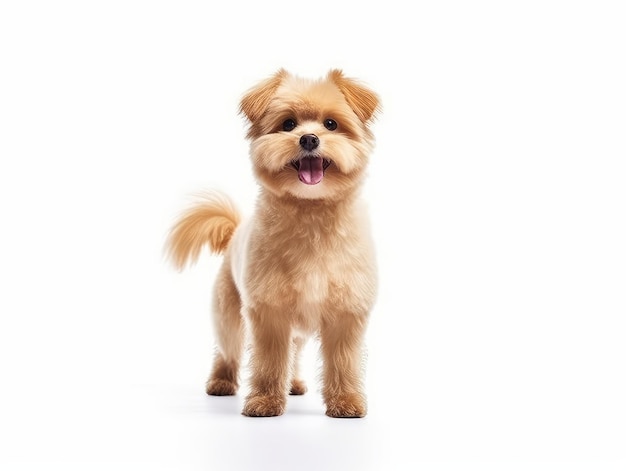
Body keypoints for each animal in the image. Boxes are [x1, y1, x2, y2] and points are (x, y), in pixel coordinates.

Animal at [167, 69, 380, 416]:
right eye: (288, 124)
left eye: (331, 124)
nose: (309, 139)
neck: (310, 211)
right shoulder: (270, 312)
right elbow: (269, 362)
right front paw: (265, 401)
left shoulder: (346, 314)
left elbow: (343, 363)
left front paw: (346, 401)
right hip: (229, 315)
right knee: (227, 350)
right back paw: (221, 381)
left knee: (294, 353)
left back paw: (293, 383)